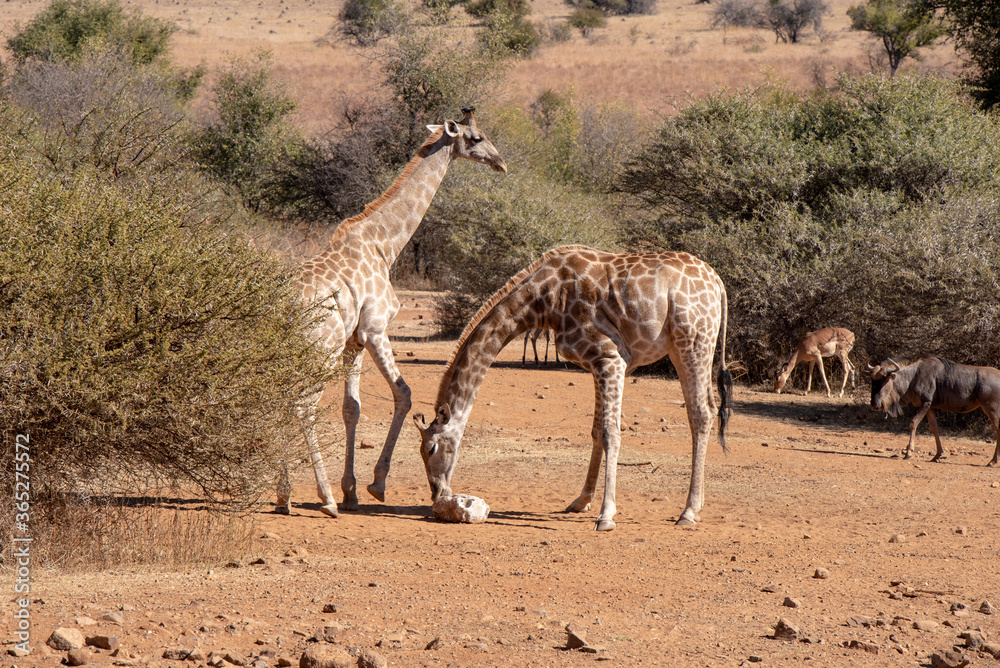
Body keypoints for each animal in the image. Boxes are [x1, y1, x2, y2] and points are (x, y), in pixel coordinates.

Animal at [278, 108, 507, 517]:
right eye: (477, 137)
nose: (501, 162)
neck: (385, 244)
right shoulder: (375, 328)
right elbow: (404, 394)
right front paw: (375, 484)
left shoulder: (354, 340)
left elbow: (351, 407)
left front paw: (352, 490)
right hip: (318, 350)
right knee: (302, 406)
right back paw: (323, 498)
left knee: (281, 399)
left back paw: (284, 495)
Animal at [414, 245, 732, 530]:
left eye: (431, 448)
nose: (437, 493)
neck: (545, 300)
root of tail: (718, 283)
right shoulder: (597, 363)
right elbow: (595, 432)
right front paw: (580, 501)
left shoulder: (611, 357)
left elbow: (611, 433)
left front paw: (606, 515)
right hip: (685, 347)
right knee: (708, 408)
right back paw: (697, 506)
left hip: (693, 341)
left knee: (701, 414)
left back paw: (687, 512)